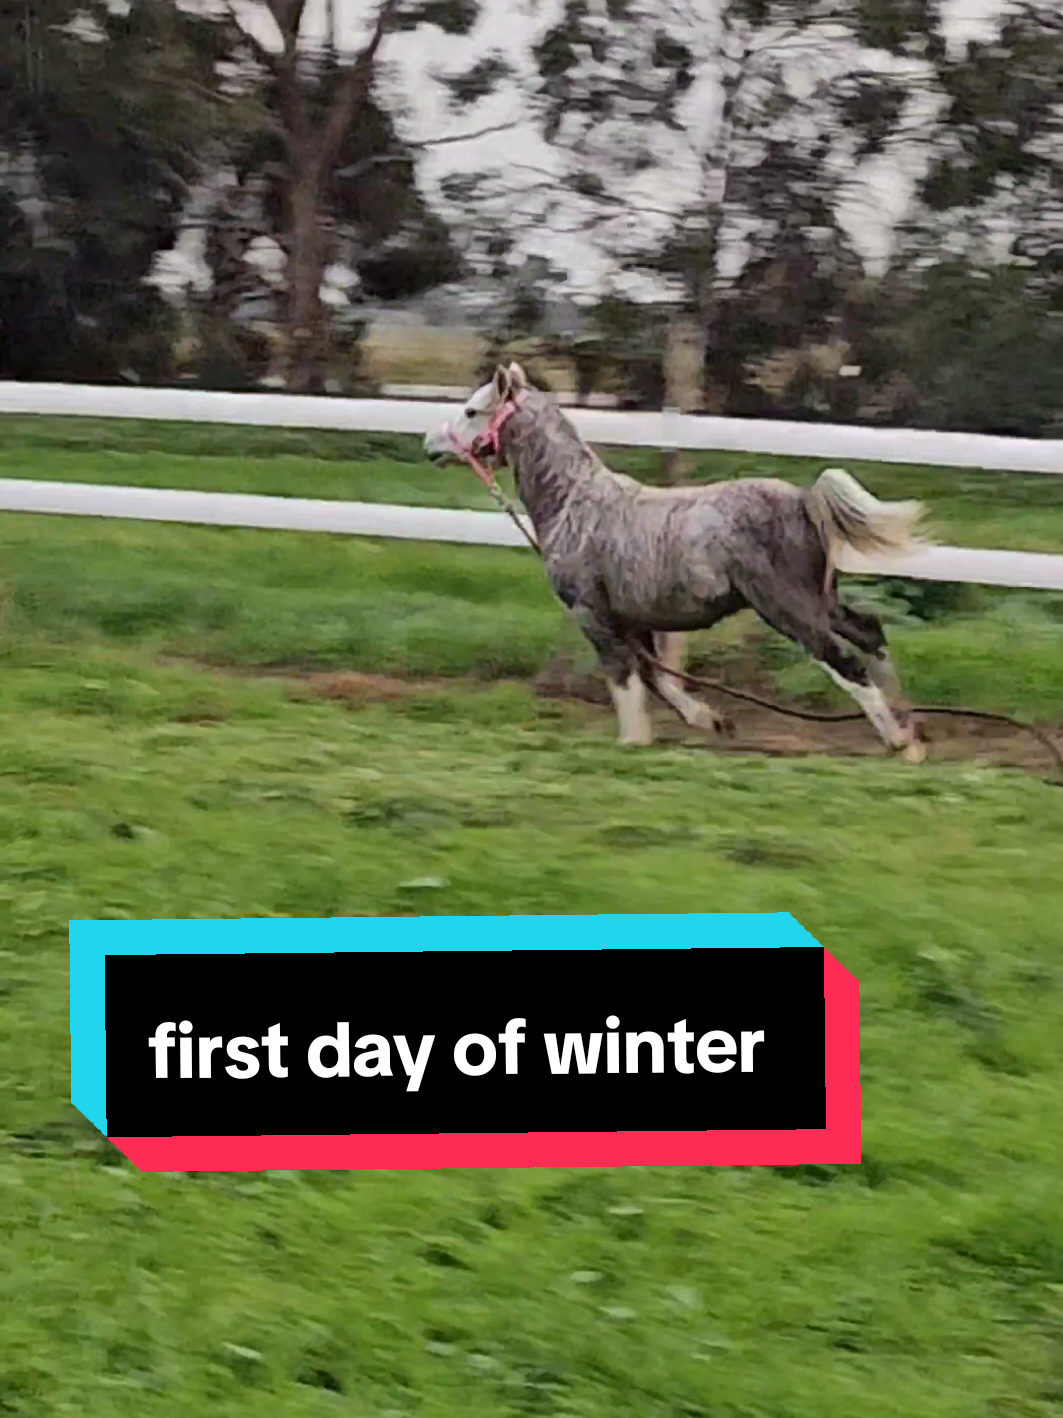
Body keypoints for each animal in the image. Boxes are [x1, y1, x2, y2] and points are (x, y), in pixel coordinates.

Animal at [424, 361, 927, 763]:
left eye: (472, 410)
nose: (431, 446)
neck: (572, 504)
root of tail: (805, 500)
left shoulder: (593, 614)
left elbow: (624, 678)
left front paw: (634, 740)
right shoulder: (634, 619)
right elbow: (655, 676)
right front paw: (712, 720)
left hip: (790, 608)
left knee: (844, 661)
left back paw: (899, 740)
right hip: (824, 601)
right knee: (871, 633)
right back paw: (909, 725)